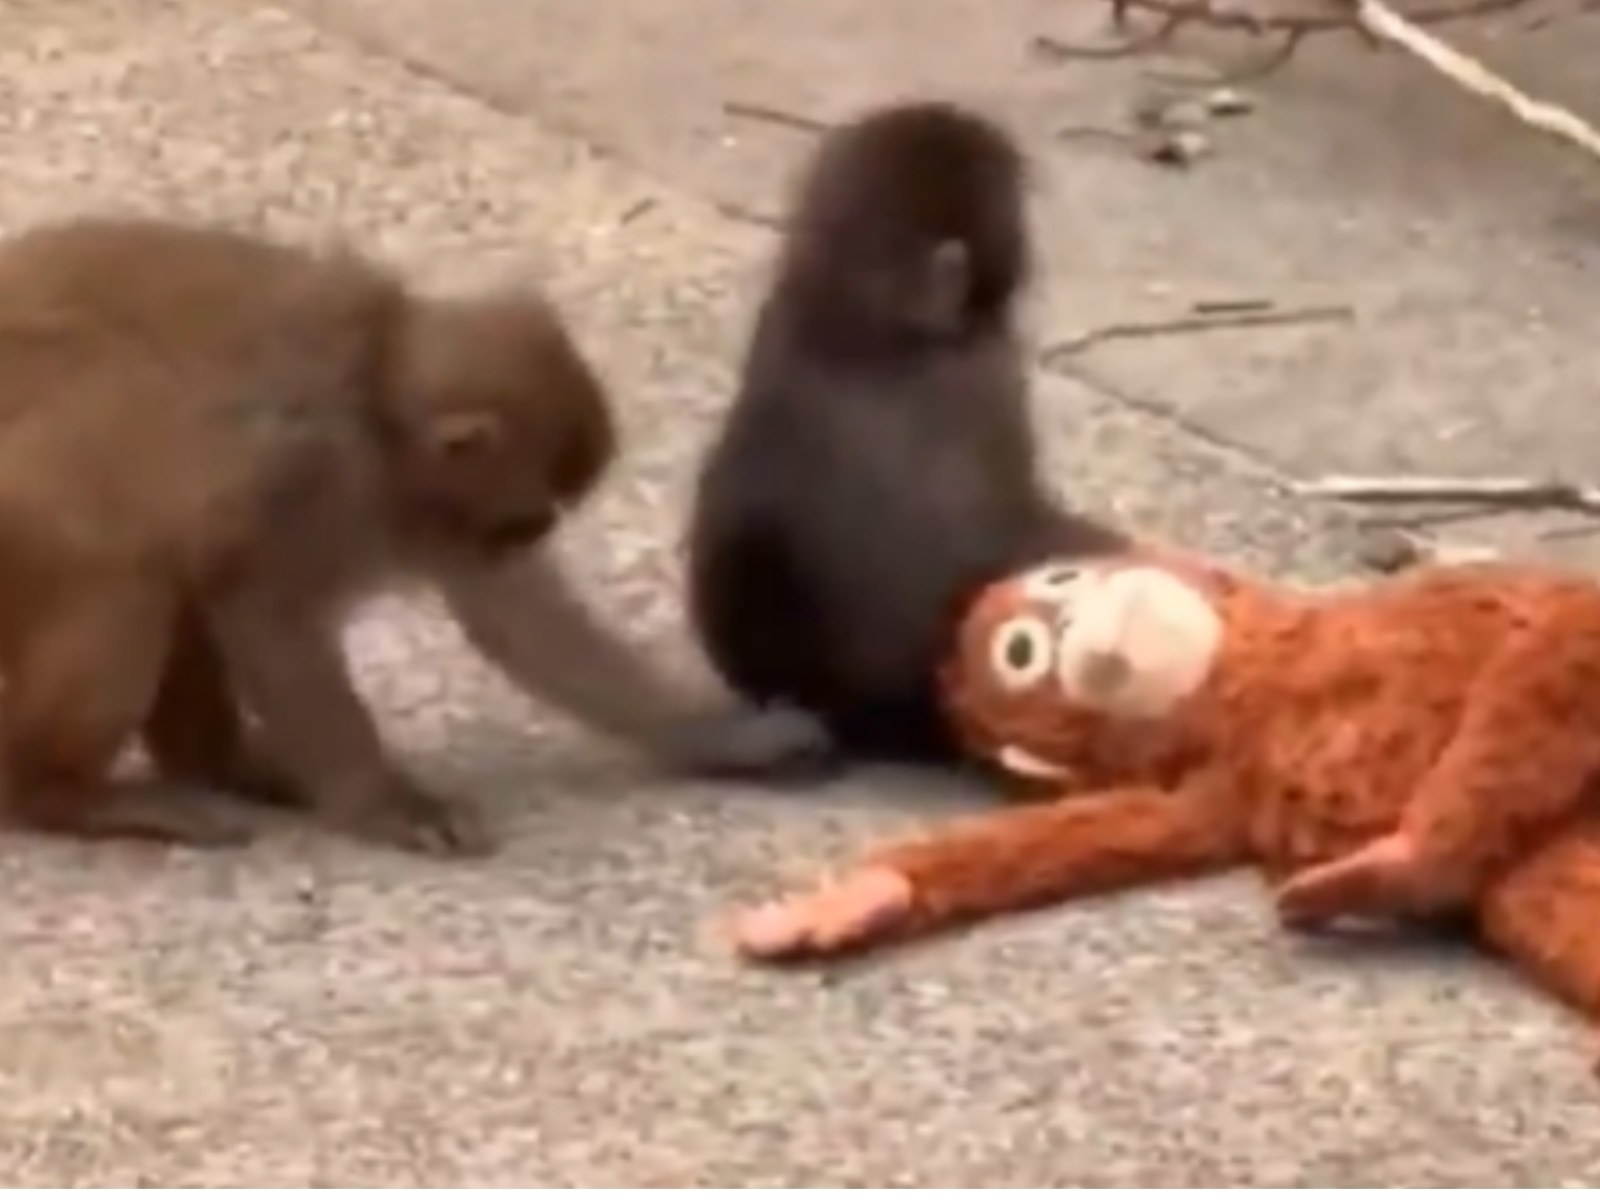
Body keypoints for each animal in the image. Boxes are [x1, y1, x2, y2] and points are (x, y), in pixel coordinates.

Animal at [0, 215, 833, 857]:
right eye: (526, 520)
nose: (519, 540)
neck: (375, 405)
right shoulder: (308, 478)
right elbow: (264, 602)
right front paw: (384, 802)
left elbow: (522, 623)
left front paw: (724, 736)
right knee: (126, 564)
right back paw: (60, 794)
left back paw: (217, 764)